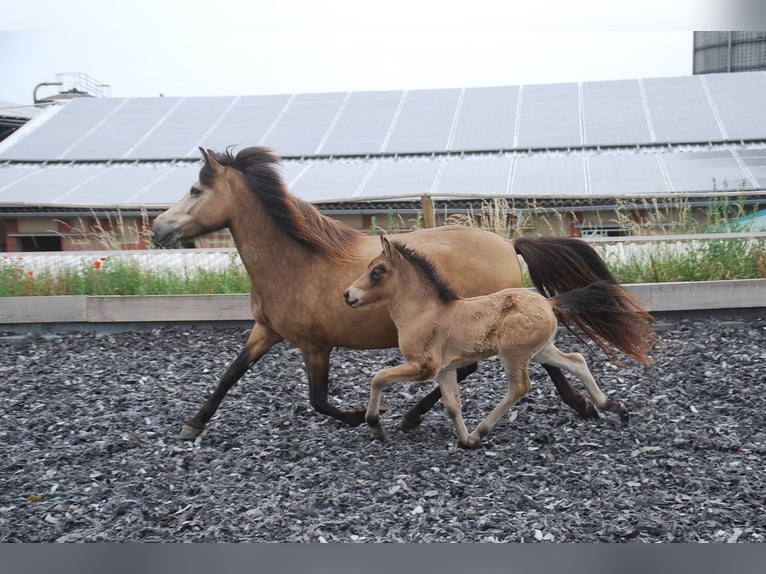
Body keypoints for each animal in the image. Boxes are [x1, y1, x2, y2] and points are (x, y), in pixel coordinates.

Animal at [344, 237, 655, 448]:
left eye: (378, 271)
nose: (348, 295)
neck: (425, 311)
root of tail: (549, 302)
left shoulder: (424, 366)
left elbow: (378, 378)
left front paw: (375, 425)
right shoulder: (445, 370)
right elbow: (452, 404)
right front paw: (465, 440)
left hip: (513, 353)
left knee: (520, 387)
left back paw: (482, 430)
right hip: (541, 350)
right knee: (577, 361)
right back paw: (614, 407)